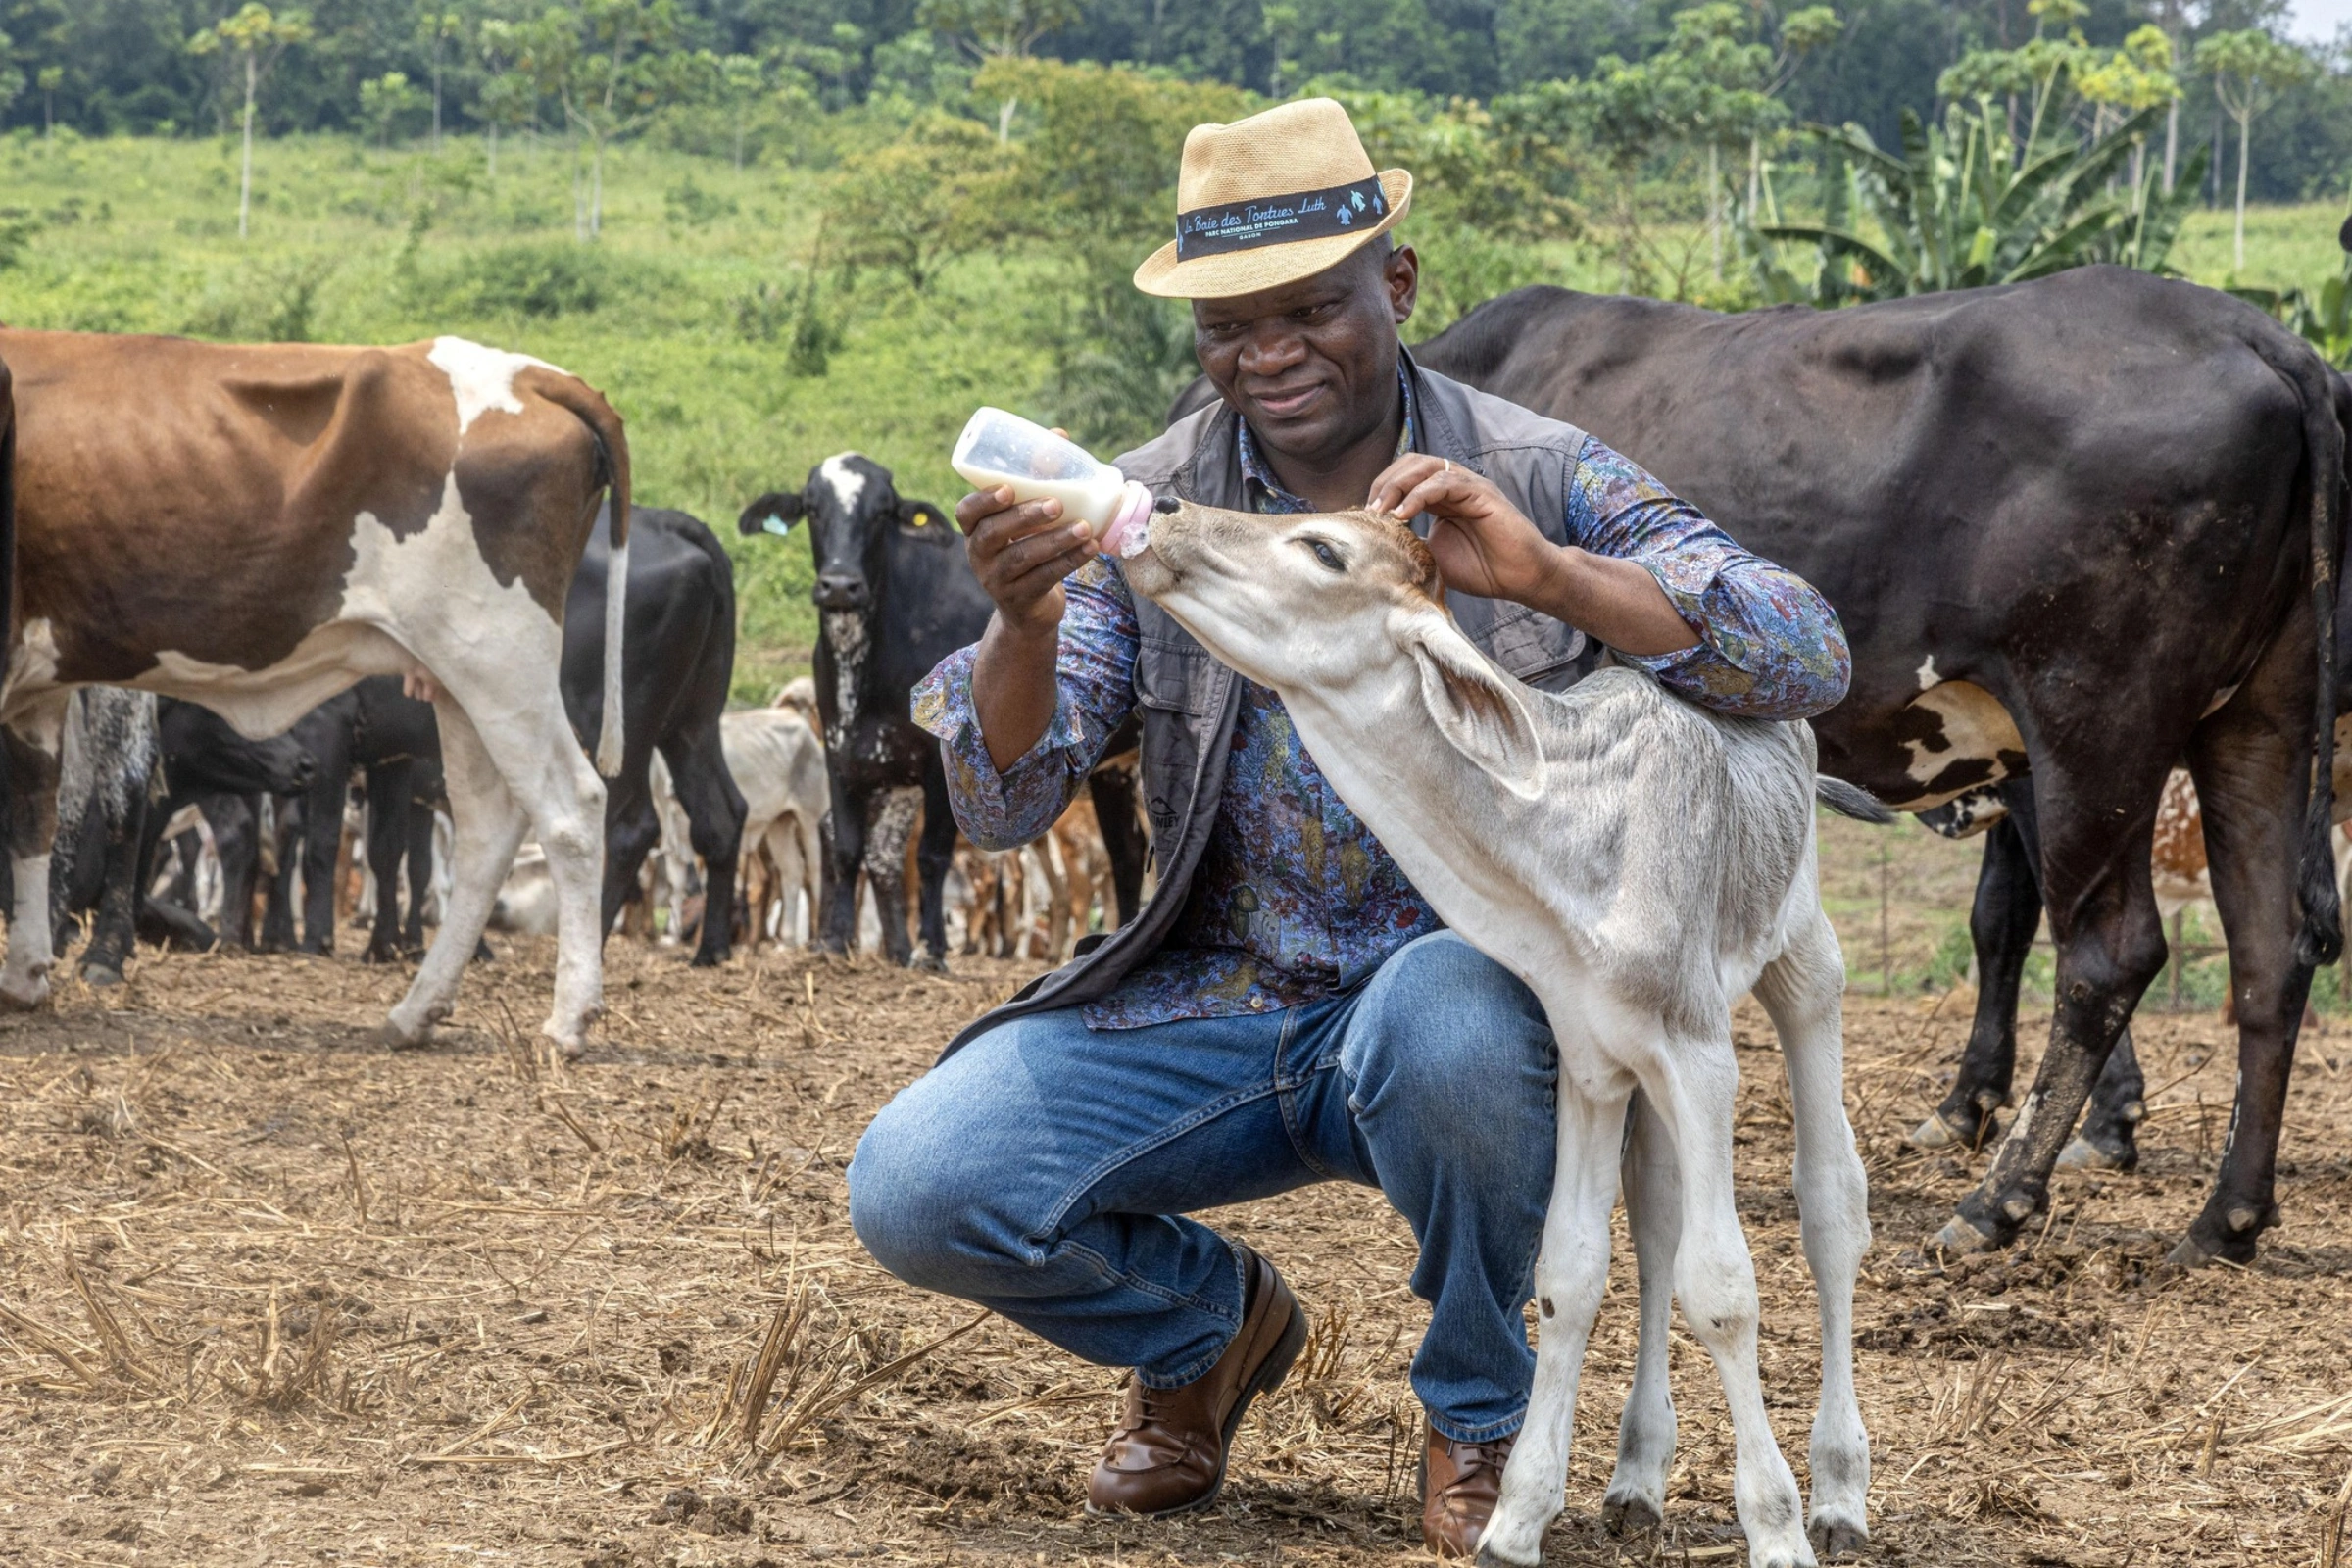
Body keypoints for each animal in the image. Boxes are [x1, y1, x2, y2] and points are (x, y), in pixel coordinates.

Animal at [0, 338, 630, 1062]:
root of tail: (531, 373)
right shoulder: (35, 688)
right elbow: (35, 814)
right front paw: (23, 975)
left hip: (501, 662)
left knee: (571, 808)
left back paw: (567, 1020)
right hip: (458, 685)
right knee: (485, 828)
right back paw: (416, 1010)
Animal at [1401, 270, 2342, 1269]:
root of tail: (2255, 332)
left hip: (2094, 726)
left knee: (2110, 953)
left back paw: (1999, 1199)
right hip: (2255, 723)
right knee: (2269, 952)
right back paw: (2225, 1219)